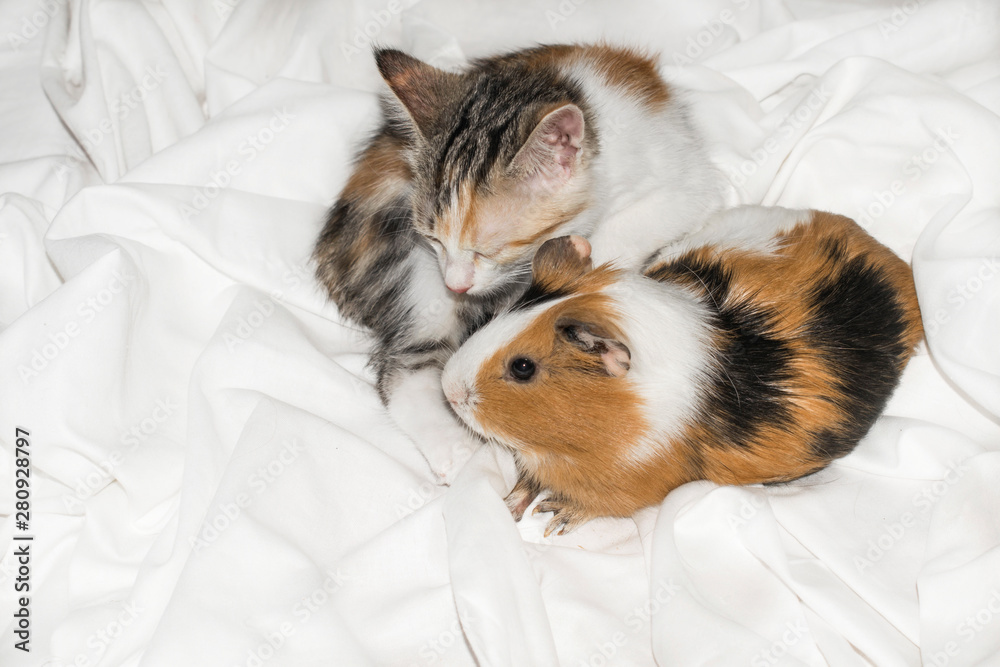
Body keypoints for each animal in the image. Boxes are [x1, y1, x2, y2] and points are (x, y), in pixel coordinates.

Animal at [316, 43, 724, 480]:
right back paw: (467, 458)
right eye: (433, 239)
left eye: (487, 250)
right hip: (411, 270)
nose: (456, 284)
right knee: (404, 368)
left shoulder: (686, 180)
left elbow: (640, 220)